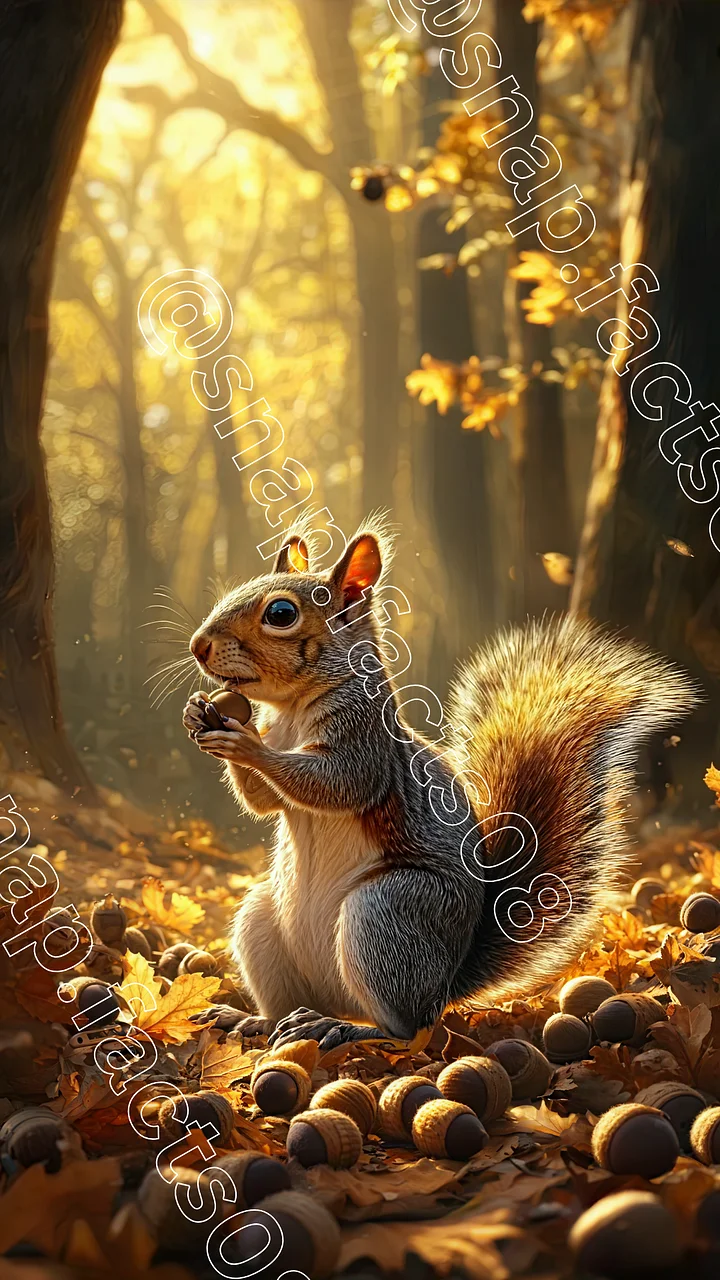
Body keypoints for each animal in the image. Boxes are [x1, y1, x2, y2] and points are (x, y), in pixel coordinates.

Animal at [183, 516, 697, 1050]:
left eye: (280, 613)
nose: (198, 645)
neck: (291, 711)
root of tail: (445, 984)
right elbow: (263, 802)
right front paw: (199, 715)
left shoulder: (367, 742)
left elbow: (338, 783)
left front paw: (248, 745)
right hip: (261, 916)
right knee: (293, 1006)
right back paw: (256, 1020)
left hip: (387, 913)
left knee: (405, 1029)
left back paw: (343, 1028)